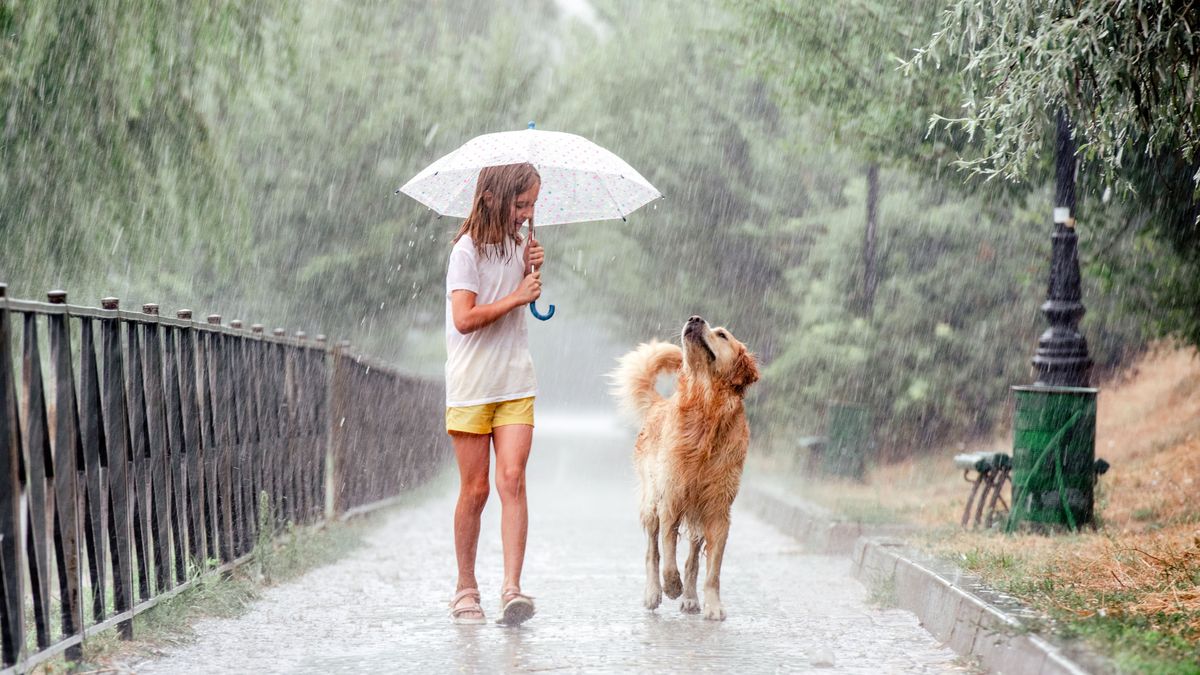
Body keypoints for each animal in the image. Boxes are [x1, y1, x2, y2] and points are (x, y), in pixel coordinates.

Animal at [614, 312, 753, 619]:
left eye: (722, 335)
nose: (695, 318)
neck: (706, 409)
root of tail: (658, 404)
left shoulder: (717, 510)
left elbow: (712, 570)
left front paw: (713, 604)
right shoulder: (671, 498)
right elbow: (666, 554)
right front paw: (671, 586)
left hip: (697, 512)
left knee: (692, 559)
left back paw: (690, 598)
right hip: (651, 501)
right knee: (652, 551)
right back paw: (654, 592)